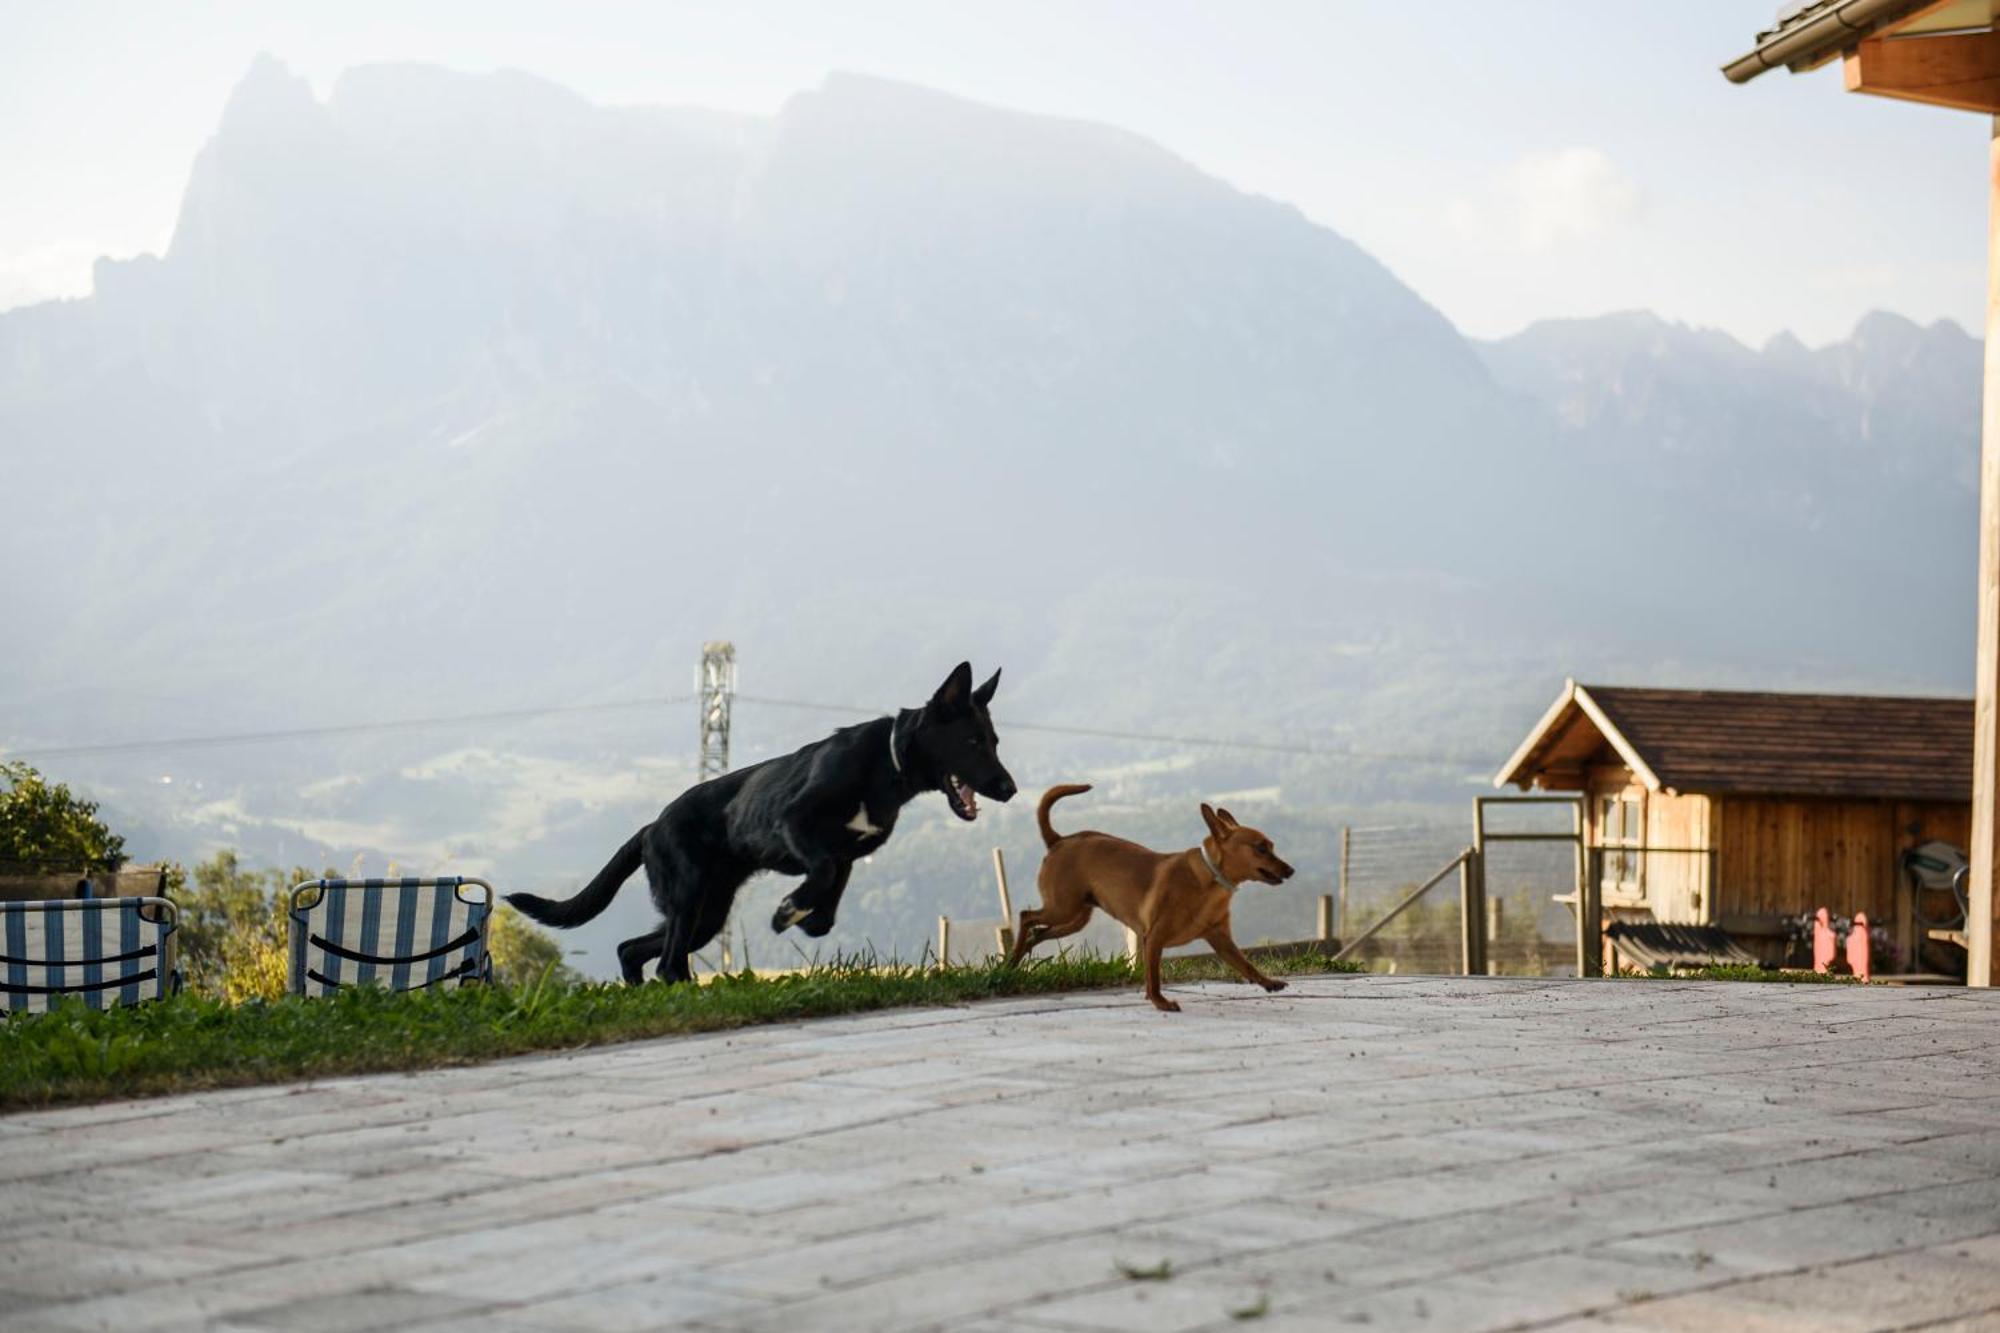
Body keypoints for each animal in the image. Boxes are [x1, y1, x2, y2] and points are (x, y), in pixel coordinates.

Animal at [504, 660, 1016, 980]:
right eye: (972, 742)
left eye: (995, 741)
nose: (1010, 789)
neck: (886, 764)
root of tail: (651, 827)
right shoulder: (794, 822)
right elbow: (820, 870)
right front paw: (788, 909)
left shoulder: (850, 855)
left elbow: (828, 906)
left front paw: (804, 915)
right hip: (689, 896)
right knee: (668, 963)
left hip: (706, 913)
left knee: (635, 950)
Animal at [1008, 780, 1304, 1008]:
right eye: (1261, 849)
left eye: (1271, 847)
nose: (1290, 870)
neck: (1209, 880)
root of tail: (1058, 840)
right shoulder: (1154, 938)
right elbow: (1154, 977)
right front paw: (1160, 1002)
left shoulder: (1222, 941)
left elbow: (1246, 965)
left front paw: (1267, 982)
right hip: (1062, 908)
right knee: (1026, 916)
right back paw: (1010, 962)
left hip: (1075, 918)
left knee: (1037, 932)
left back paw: (1017, 960)